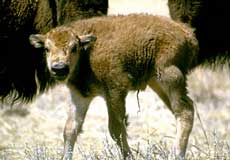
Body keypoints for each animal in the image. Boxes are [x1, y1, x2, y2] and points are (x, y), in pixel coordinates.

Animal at [29, 14, 198, 159]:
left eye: (74, 48)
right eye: (47, 48)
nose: (59, 68)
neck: (87, 53)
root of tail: (186, 32)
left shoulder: (114, 91)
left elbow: (116, 129)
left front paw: (129, 156)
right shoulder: (80, 95)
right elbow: (70, 129)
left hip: (170, 77)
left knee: (185, 111)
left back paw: (177, 154)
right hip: (157, 83)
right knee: (180, 111)